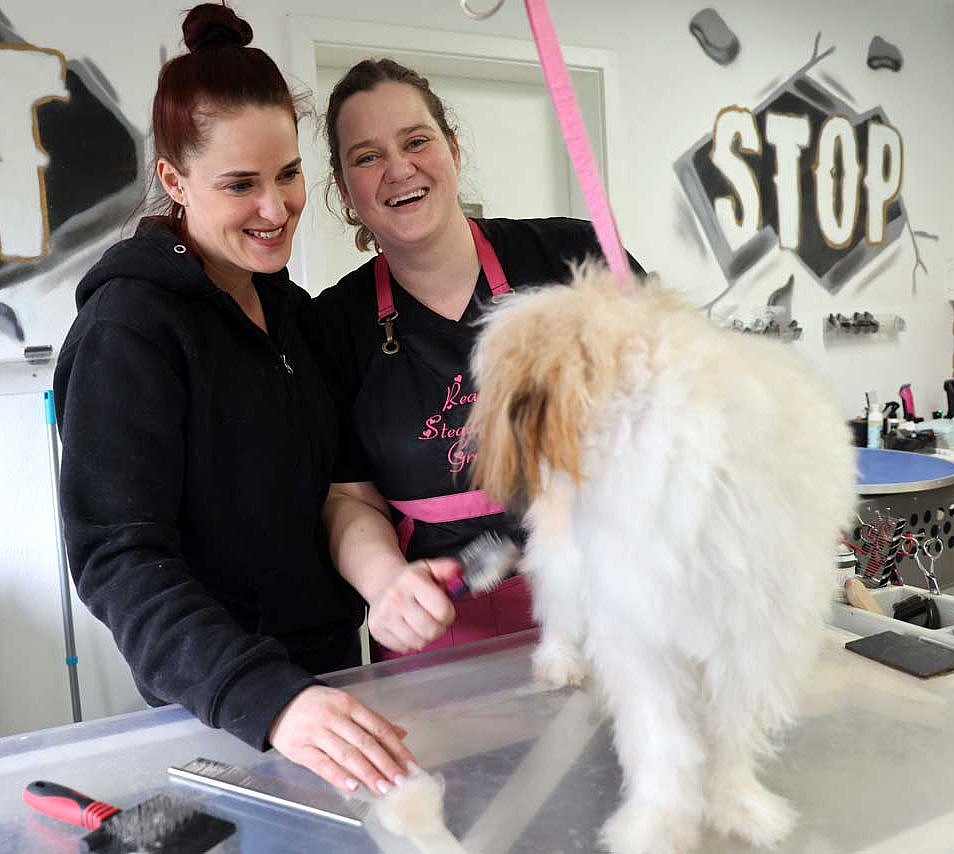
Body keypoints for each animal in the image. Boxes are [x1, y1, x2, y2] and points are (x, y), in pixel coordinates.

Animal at [466, 268, 856, 854]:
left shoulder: (752, 641)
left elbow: (732, 735)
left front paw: (738, 806)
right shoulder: (643, 638)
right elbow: (663, 741)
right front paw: (658, 824)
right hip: (566, 566)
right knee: (558, 615)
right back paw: (560, 663)